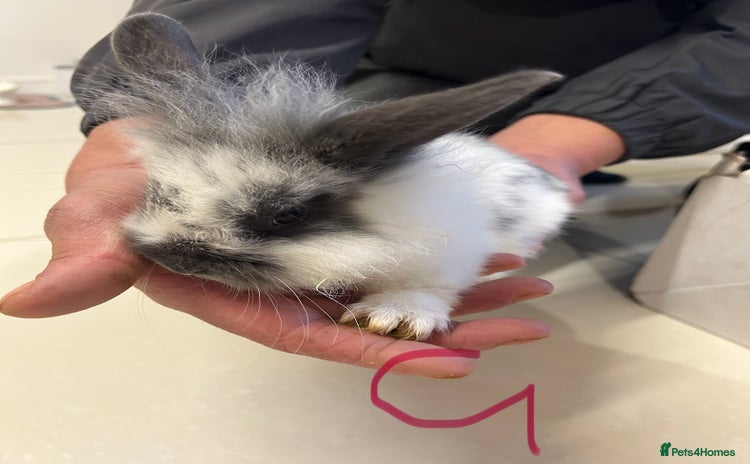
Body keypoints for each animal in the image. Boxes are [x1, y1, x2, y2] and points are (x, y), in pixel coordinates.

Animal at [94, 13, 572, 340]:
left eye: (288, 215)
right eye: (158, 188)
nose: (177, 258)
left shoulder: (447, 254)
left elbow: (424, 285)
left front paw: (394, 317)